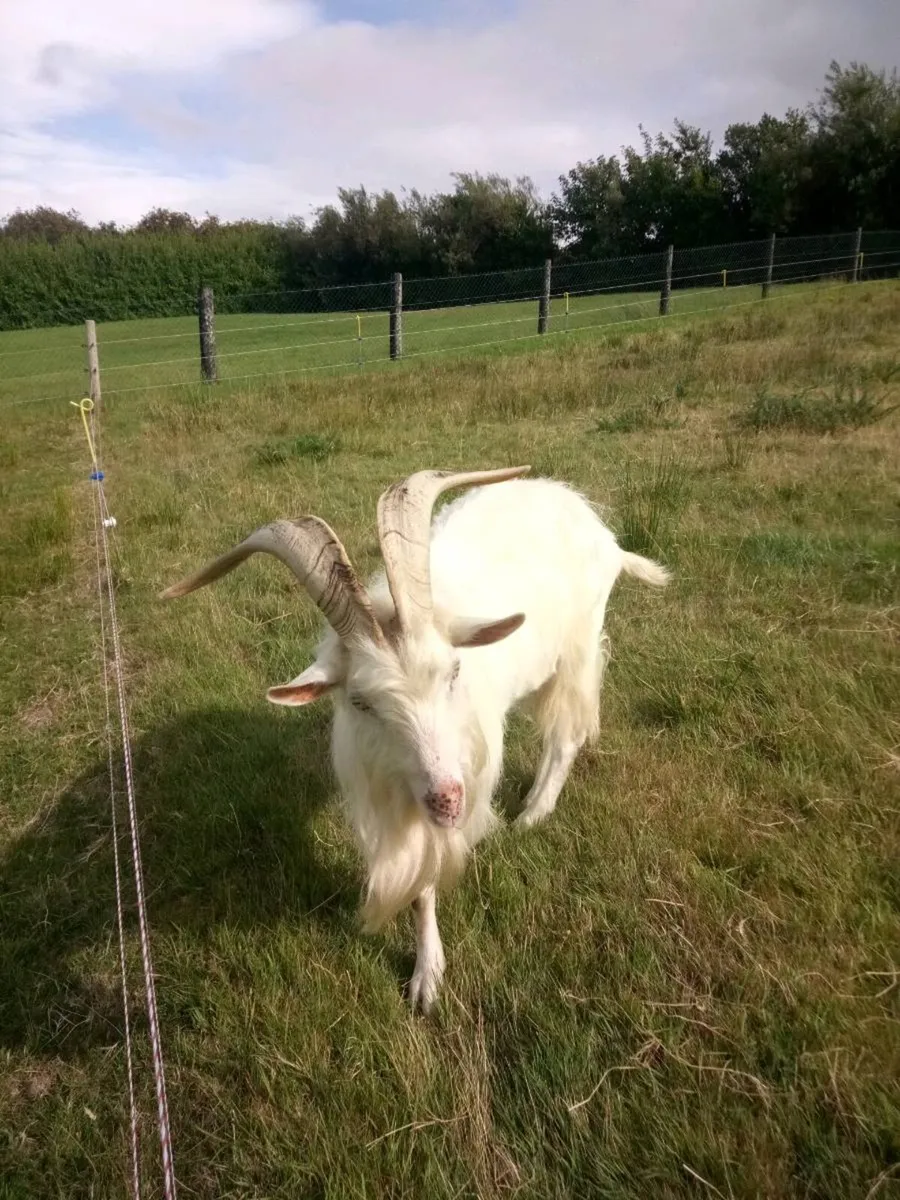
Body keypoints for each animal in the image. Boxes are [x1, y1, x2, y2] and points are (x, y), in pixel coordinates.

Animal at [161, 466, 670, 1011]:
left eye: (454, 672)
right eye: (360, 702)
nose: (447, 799)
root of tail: (588, 518)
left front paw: (428, 974)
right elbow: (419, 884)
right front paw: (427, 975)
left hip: (577, 648)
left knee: (565, 735)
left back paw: (533, 813)